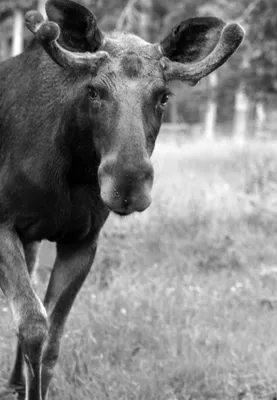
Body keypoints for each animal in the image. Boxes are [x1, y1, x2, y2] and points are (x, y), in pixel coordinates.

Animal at [0, 0, 243, 398]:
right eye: (94, 91)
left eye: (163, 96)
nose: (128, 184)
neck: (70, 171)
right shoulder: (3, 225)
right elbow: (34, 324)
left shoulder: (83, 241)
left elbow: (51, 339)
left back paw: (14, 382)